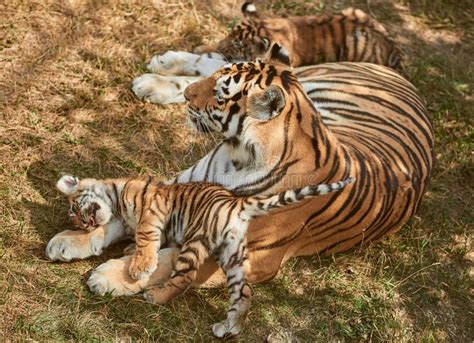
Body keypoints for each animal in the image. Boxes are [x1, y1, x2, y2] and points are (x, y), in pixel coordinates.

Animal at [47, 45, 434, 298]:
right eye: (218, 84)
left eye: (221, 94)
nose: (189, 96)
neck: (238, 157)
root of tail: (401, 76)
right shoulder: (170, 189)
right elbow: (122, 220)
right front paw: (70, 240)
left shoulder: (247, 255)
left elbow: (166, 260)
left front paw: (110, 276)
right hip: (305, 78)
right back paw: (163, 66)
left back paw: (155, 78)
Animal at [193, 1, 404, 72]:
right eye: (229, 33)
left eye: (238, 45)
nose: (223, 47)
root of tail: (393, 46)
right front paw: (201, 48)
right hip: (353, 11)